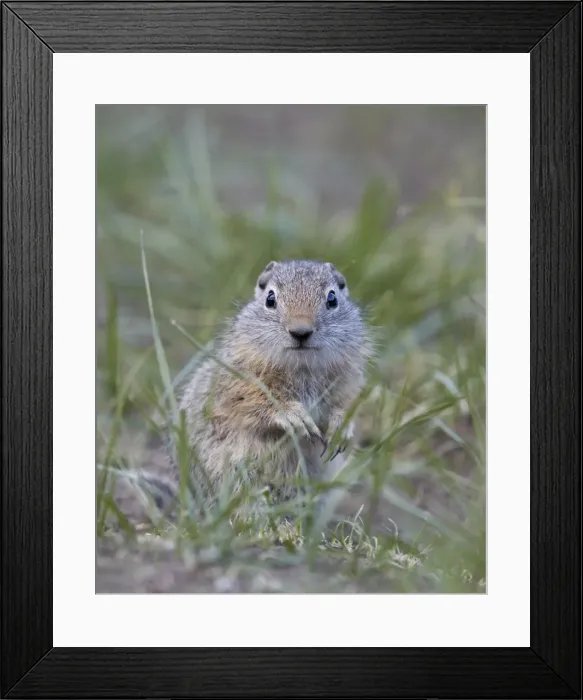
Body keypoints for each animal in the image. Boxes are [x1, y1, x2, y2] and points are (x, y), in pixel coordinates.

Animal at [117, 259, 372, 524]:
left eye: (332, 298)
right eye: (270, 299)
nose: (300, 331)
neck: (302, 367)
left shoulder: (348, 383)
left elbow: (346, 404)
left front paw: (341, 426)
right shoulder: (236, 383)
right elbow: (255, 402)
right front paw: (294, 416)